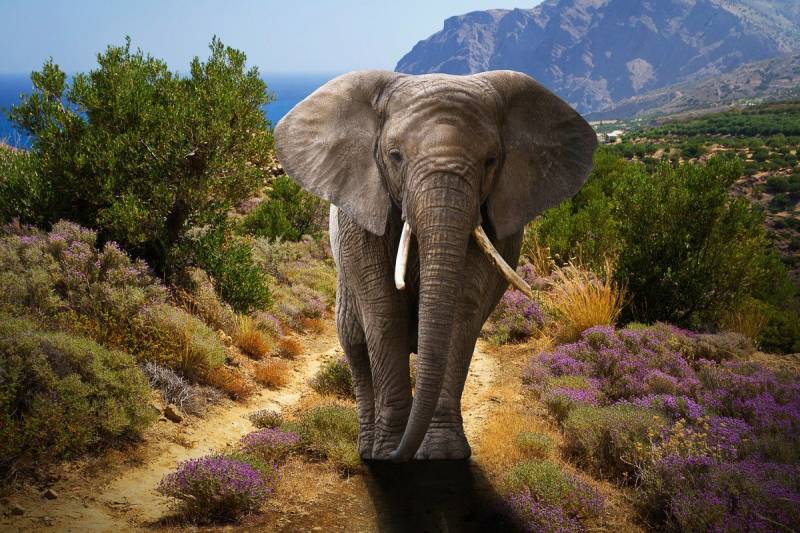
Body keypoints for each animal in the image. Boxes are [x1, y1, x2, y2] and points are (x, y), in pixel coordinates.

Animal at [274, 70, 597, 461]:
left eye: (491, 161)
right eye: (395, 156)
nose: (400, 455)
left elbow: (462, 311)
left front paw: (443, 454)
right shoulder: (360, 217)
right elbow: (383, 312)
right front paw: (388, 453)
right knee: (354, 342)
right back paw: (368, 450)